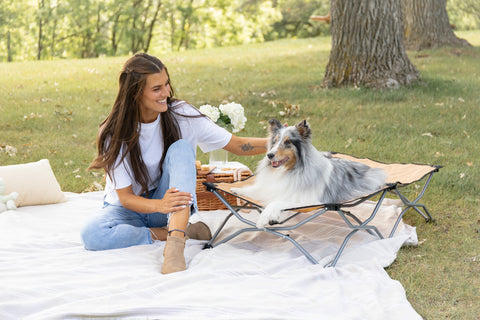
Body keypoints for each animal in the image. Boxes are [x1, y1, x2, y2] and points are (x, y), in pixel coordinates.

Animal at [232, 119, 386, 228]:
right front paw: (236, 189)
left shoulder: (306, 200)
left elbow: (275, 203)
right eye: (274, 142)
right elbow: (256, 190)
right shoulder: (271, 188)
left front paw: (263, 219)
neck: (290, 170)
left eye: (287, 143)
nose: (269, 155)